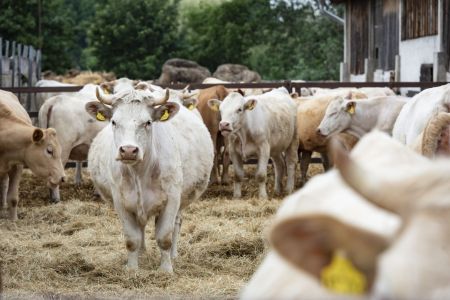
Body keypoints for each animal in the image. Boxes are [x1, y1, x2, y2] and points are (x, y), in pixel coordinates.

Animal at [87, 87, 215, 272]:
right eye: (114, 122)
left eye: (148, 122)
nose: (128, 150)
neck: (139, 173)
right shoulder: (121, 202)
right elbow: (132, 239)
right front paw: (132, 269)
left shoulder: (172, 200)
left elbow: (164, 237)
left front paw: (166, 269)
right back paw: (142, 252)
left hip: (182, 200)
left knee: (176, 224)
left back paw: (173, 255)